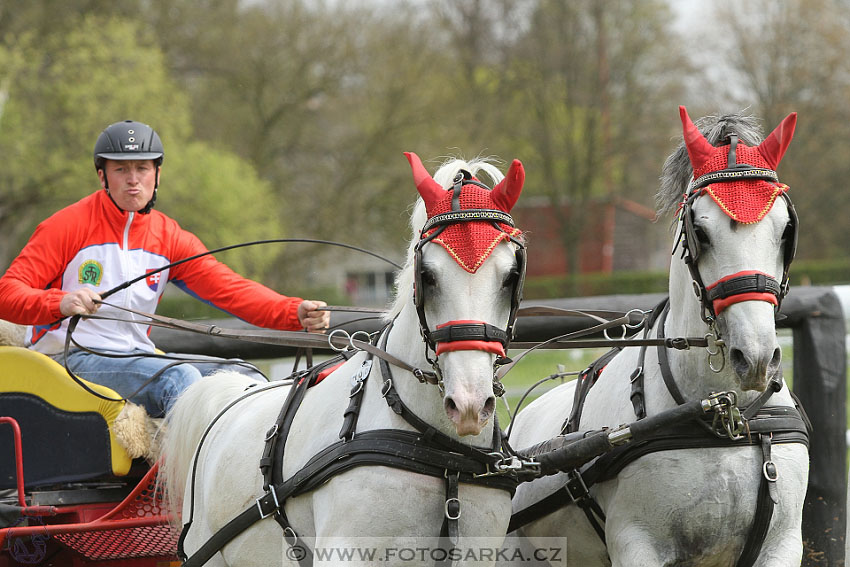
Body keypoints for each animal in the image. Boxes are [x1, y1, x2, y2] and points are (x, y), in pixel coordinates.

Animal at [504, 107, 808, 567]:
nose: (755, 358)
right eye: (700, 232)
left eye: (786, 228)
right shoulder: (638, 543)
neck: (725, 416)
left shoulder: (783, 543)